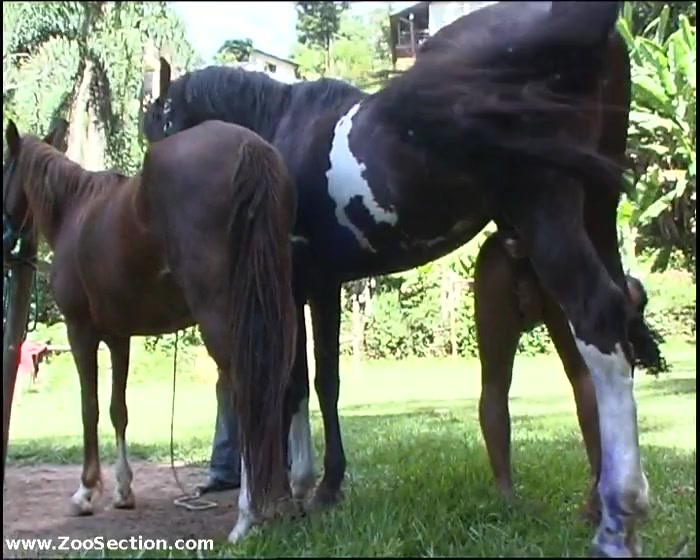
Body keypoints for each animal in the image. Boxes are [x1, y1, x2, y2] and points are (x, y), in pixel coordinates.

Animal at [2, 118, 298, 542]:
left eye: (2, 169)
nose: (6, 240)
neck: (76, 210)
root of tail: (248, 148)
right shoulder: (119, 337)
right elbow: (118, 410)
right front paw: (123, 491)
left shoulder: (81, 331)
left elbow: (89, 408)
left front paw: (85, 492)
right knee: (280, 385)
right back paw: (282, 501)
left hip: (223, 319)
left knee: (248, 392)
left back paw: (247, 516)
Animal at [145, 2, 656, 555]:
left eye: (157, 128)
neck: (280, 127)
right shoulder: (324, 284)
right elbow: (324, 380)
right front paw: (321, 488)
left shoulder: (302, 283)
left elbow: (301, 380)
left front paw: (307, 490)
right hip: (598, 212)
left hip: (547, 211)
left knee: (600, 320)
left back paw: (617, 521)